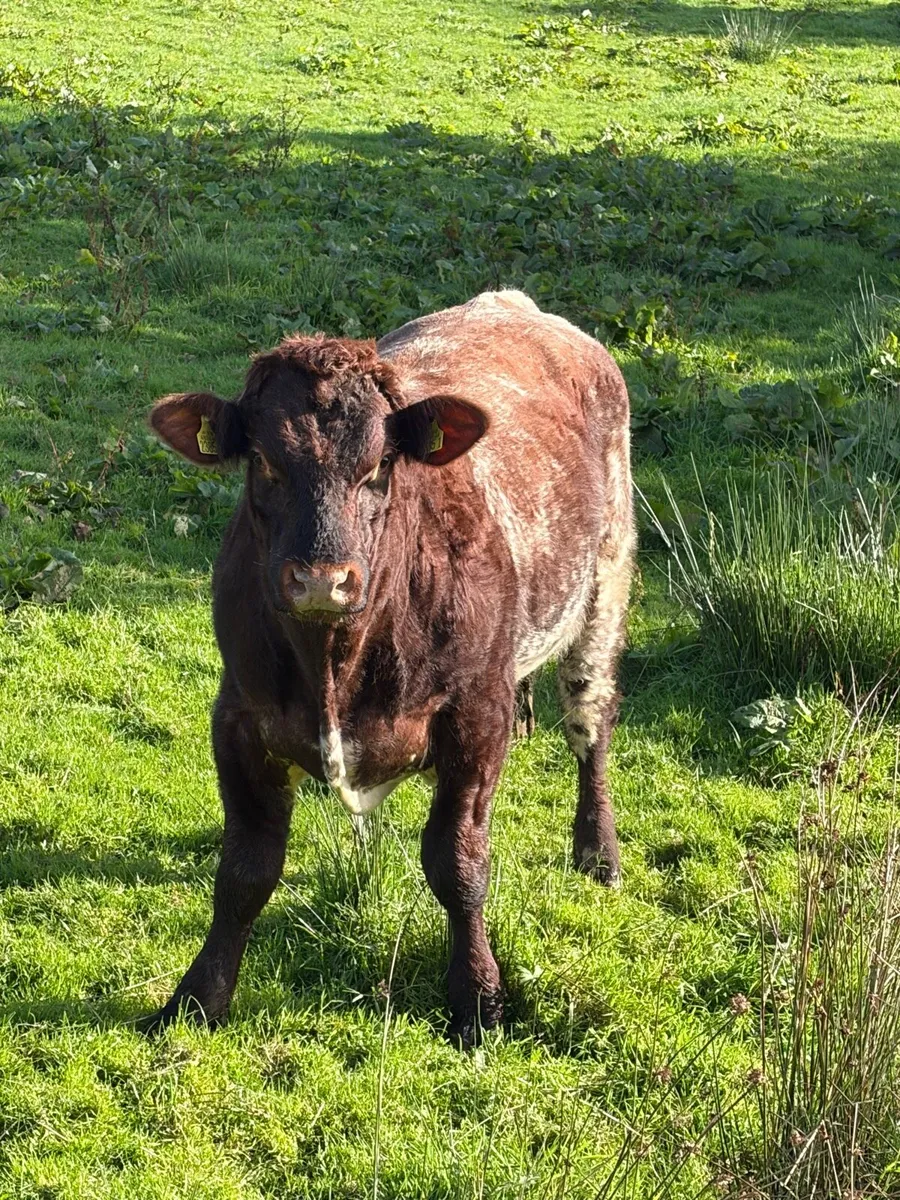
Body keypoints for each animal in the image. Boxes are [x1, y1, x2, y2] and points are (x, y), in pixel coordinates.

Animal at [145, 291, 633, 1046]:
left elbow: (458, 863)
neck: (334, 664)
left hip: (604, 589)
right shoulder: (239, 719)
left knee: (591, 727)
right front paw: (197, 997)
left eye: (378, 466)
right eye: (264, 463)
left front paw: (478, 998)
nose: (322, 580)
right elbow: (245, 871)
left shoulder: (476, 716)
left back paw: (598, 852)